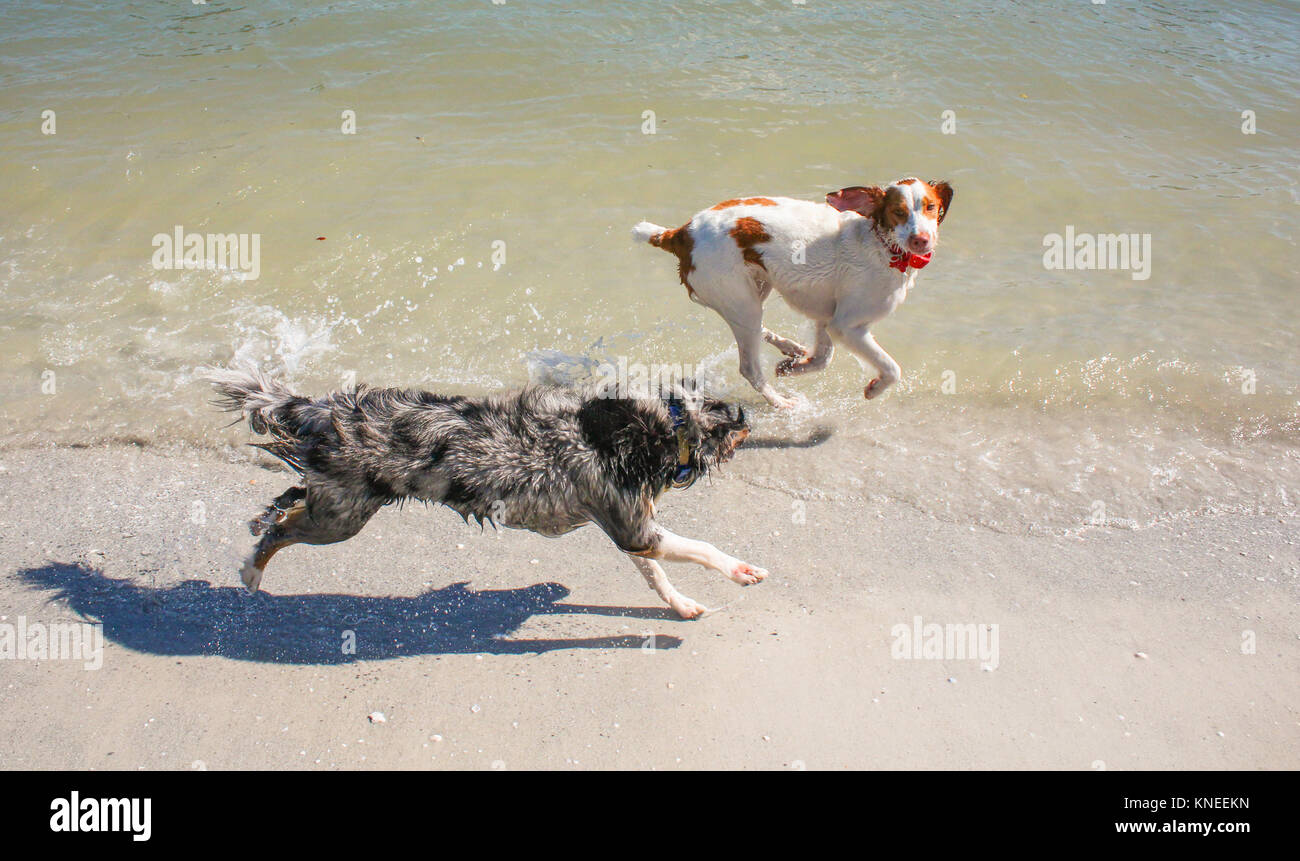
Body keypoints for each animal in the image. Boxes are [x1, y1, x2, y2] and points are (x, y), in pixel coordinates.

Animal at [634, 176, 951, 410]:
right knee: (749, 368)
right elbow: (892, 368)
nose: (921, 240)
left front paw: (792, 367)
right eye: (898, 212)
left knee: (759, 328)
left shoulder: (826, 319)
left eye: (930, 207)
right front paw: (874, 389)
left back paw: (791, 349)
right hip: (740, 300)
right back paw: (781, 402)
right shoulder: (847, 327)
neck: (881, 245)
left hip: (754, 292)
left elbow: (823, 359)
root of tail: (680, 234)